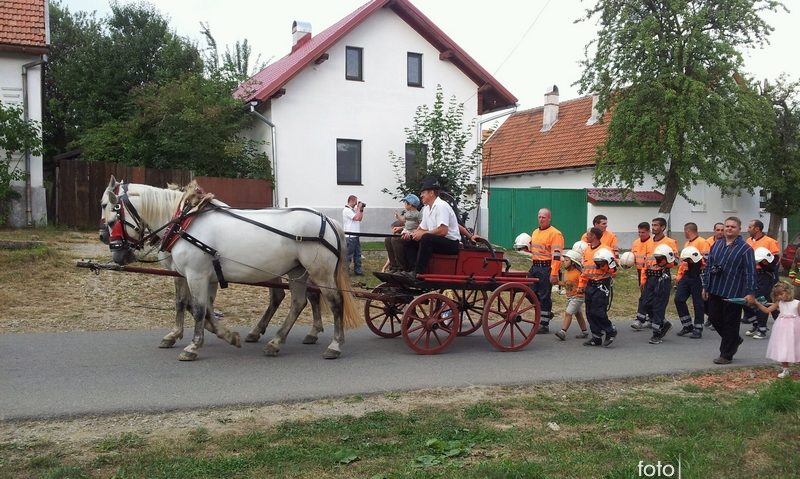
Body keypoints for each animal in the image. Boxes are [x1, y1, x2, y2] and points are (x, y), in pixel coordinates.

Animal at [101, 176, 360, 360]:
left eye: (109, 211)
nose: (117, 253)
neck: (183, 223)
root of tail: (328, 220)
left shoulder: (197, 275)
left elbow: (199, 309)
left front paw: (193, 346)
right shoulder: (193, 275)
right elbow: (188, 305)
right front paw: (217, 335)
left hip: (319, 272)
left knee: (335, 302)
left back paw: (334, 345)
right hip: (297, 271)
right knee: (298, 302)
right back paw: (275, 342)